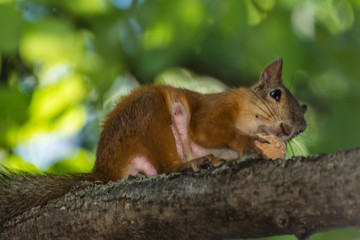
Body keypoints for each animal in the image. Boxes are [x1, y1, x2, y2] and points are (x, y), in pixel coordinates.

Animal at [0, 58, 306, 225]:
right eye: (275, 94)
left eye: (302, 130)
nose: (288, 129)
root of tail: (104, 170)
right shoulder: (217, 106)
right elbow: (204, 129)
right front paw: (249, 142)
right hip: (148, 114)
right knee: (164, 166)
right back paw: (189, 164)